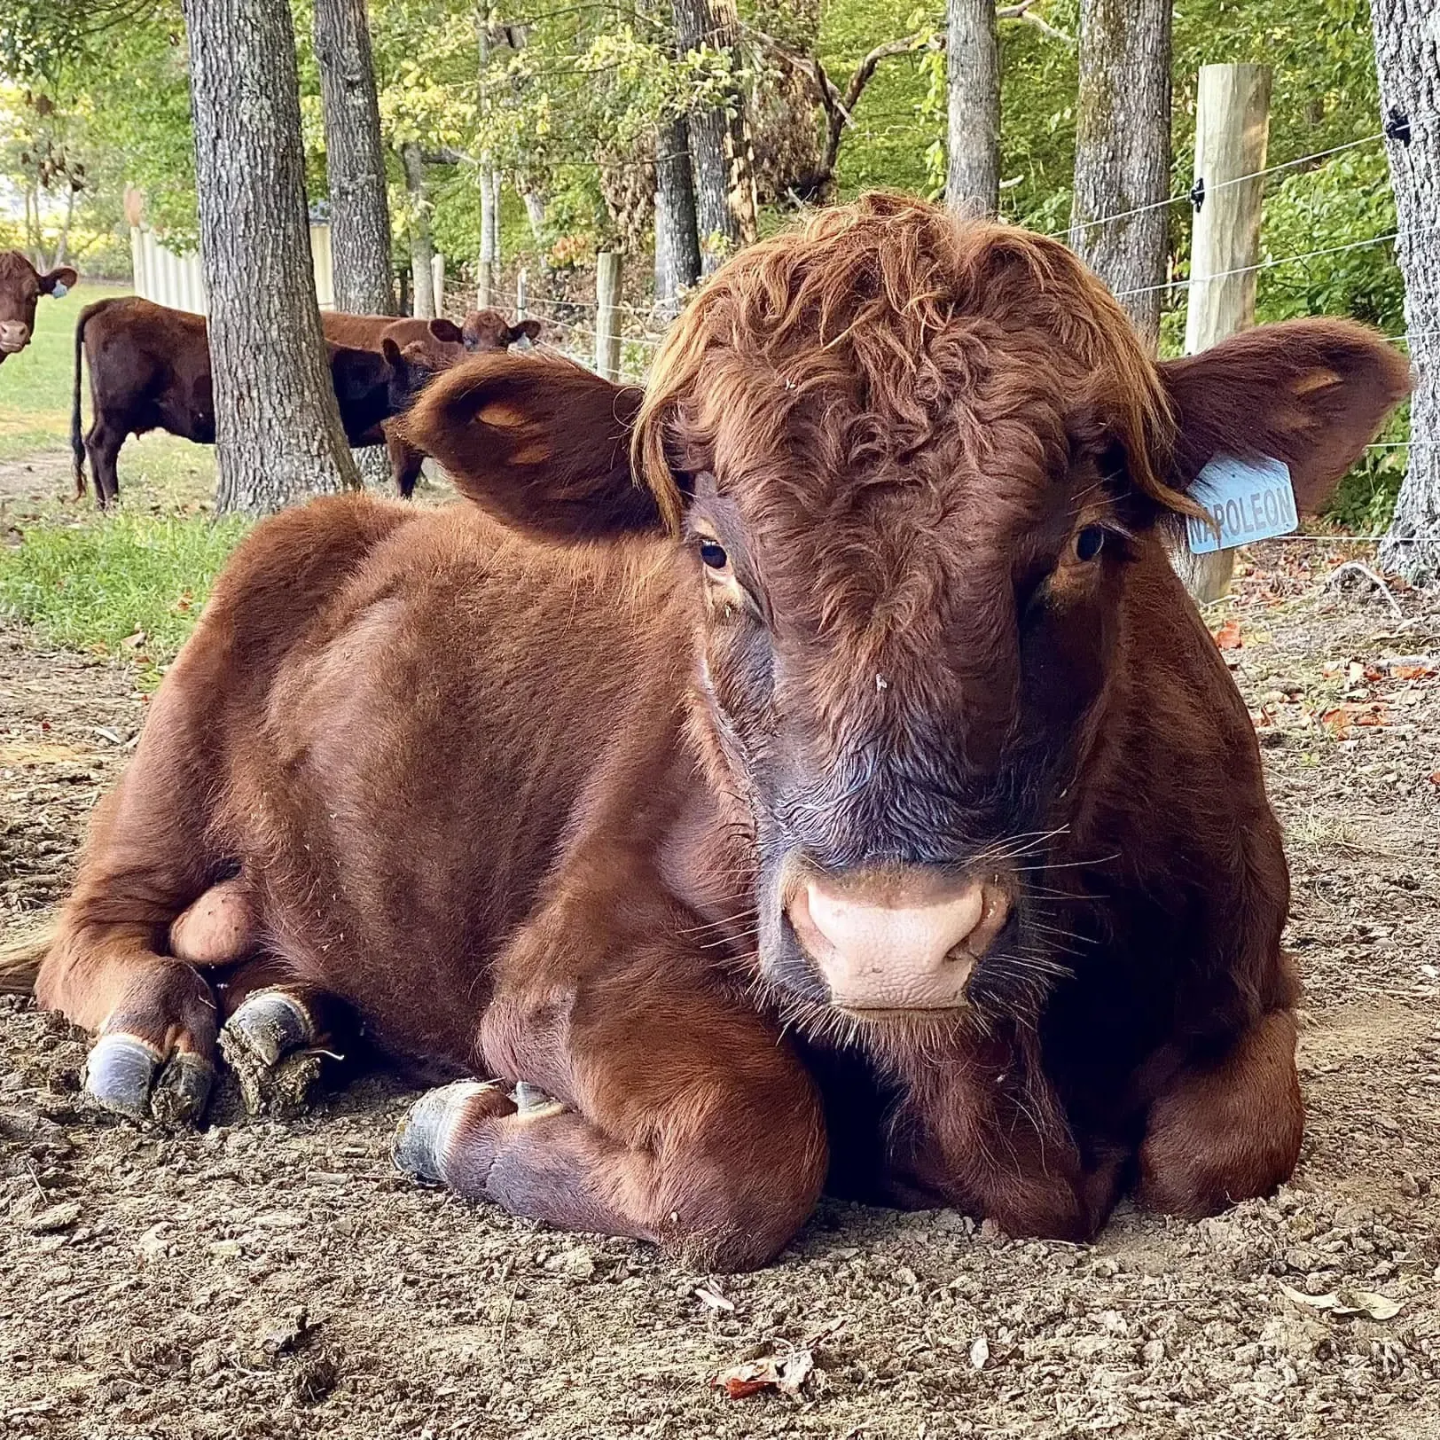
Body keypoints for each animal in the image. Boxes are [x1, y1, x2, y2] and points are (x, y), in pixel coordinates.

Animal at [71, 297, 439, 506]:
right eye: (421, 374)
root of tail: (110, 303)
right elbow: (403, 482)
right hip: (118, 408)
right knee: (103, 447)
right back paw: (112, 504)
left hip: (105, 410)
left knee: (90, 443)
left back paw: (102, 503)